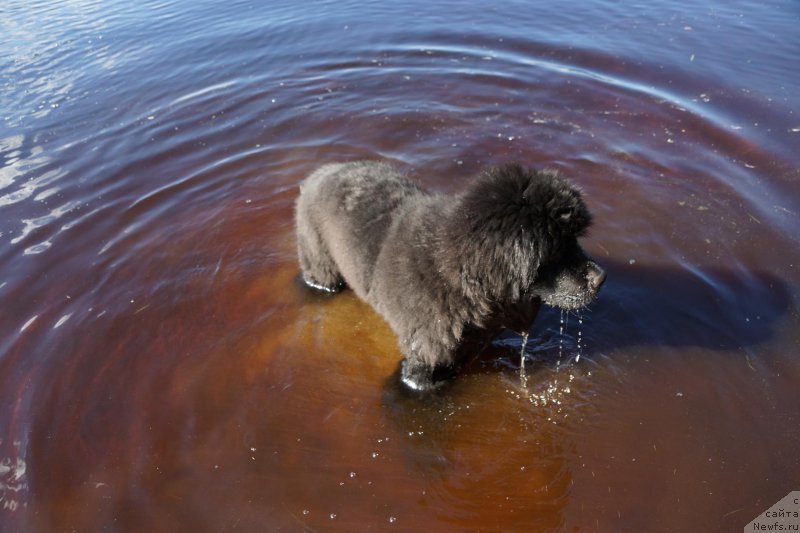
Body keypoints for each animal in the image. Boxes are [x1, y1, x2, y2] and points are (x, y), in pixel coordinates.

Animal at [296, 160, 608, 388]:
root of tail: (318, 173)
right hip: (318, 257)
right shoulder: (425, 357)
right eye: (555, 250)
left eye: (574, 240)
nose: (600, 278)